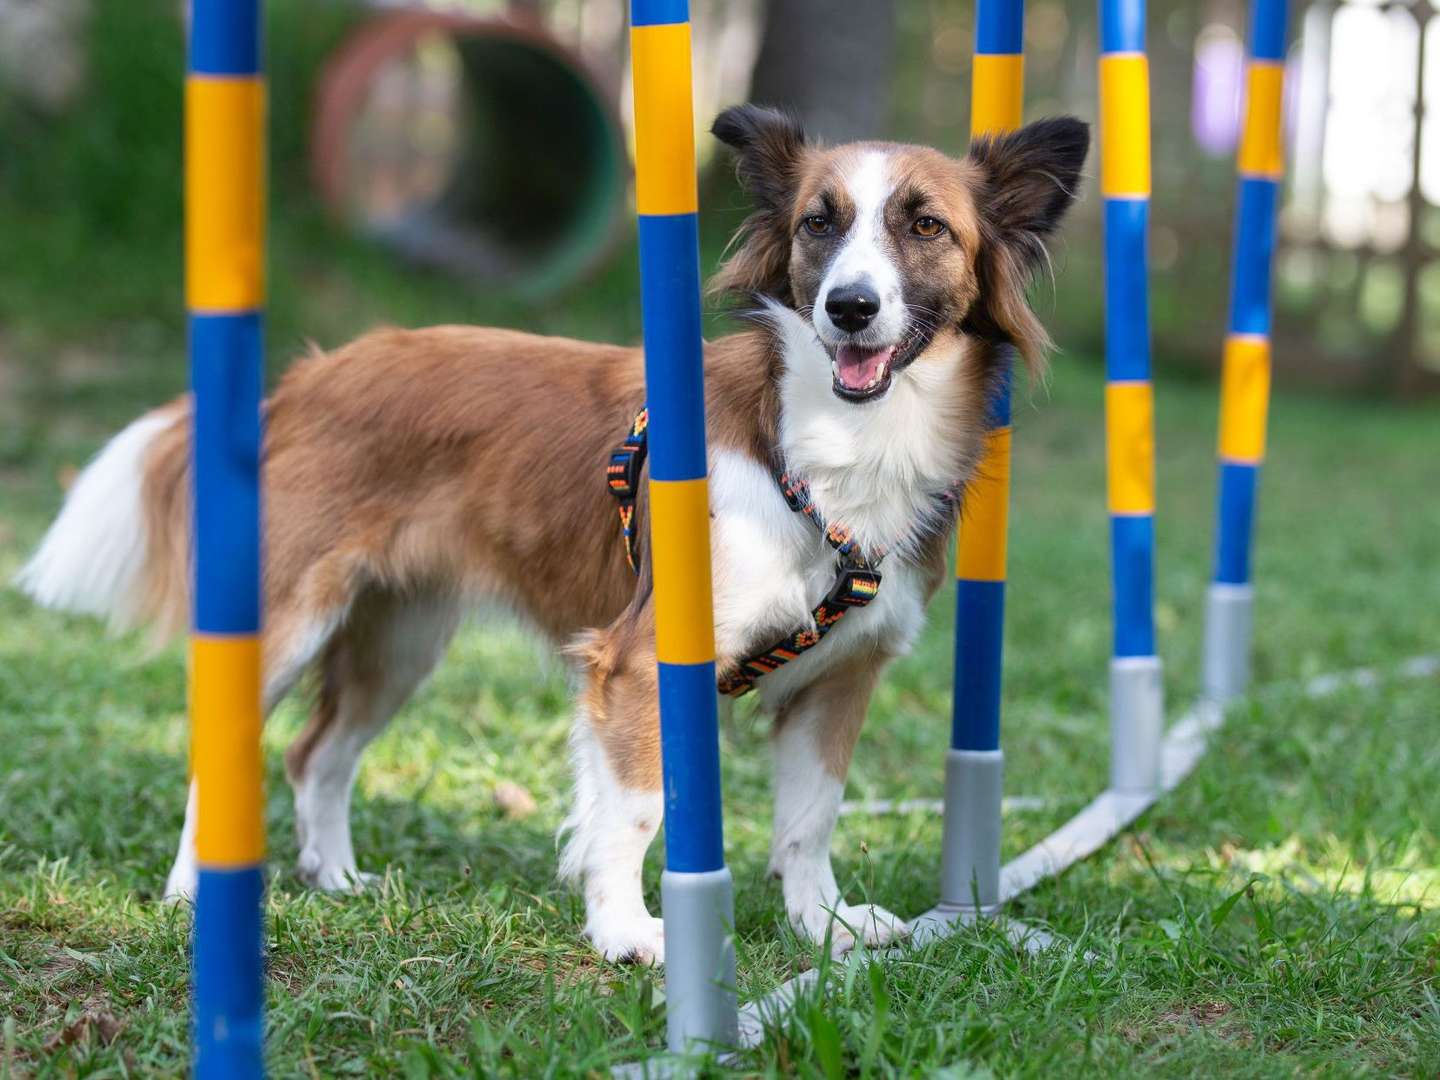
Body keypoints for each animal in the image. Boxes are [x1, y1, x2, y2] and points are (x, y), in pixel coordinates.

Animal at [19, 108, 1082, 961]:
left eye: (926, 226)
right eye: (818, 223)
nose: (850, 307)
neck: (826, 451)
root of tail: (309, 376)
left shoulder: (841, 673)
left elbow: (812, 817)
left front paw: (822, 927)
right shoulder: (642, 662)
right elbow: (639, 809)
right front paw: (627, 933)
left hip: (401, 638)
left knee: (317, 752)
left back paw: (337, 879)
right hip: (290, 621)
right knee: (227, 747)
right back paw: (196, 890)